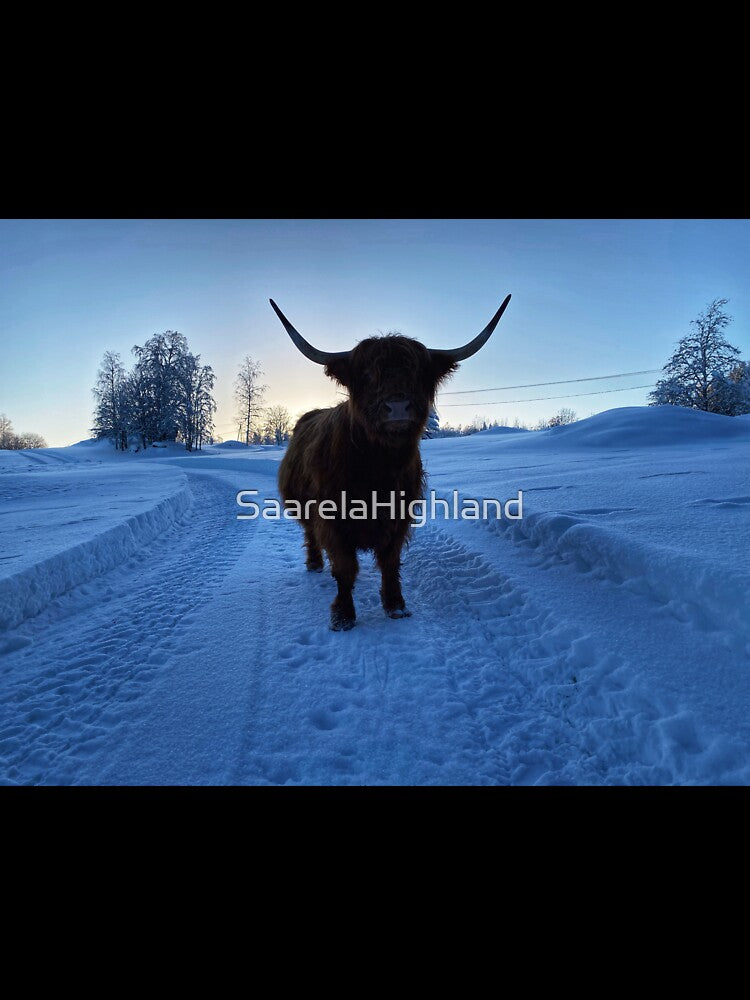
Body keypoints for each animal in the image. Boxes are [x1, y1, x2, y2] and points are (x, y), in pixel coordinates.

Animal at [271, 295, 511, 631]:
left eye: (418, 374)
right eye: (367, 375)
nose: (397, 407)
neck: (378, 472)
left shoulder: (399, 516)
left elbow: (390, 562)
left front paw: (396, 605)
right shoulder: (331, 520)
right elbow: (345, 568)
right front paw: (343, 616)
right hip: (303, 510)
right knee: (311, 536)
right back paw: (315, 564)